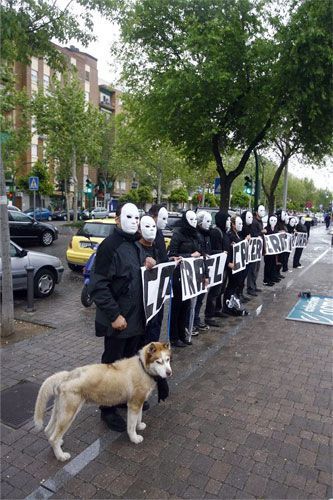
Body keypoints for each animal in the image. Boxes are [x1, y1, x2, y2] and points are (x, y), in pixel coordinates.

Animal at [33, 344, 171, 460]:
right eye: (159, 361)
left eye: (168, 360)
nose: (169, 373)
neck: (142, 367)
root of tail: (69, 375)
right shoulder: (134, 404)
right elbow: (131, 426)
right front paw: (134, 438)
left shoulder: (139, 403)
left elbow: (139, 417)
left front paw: (140, 425)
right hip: (68, 414)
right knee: (53, 438)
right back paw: (61, 456)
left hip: (59, 411)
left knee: (48, 431)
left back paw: (58, 445)